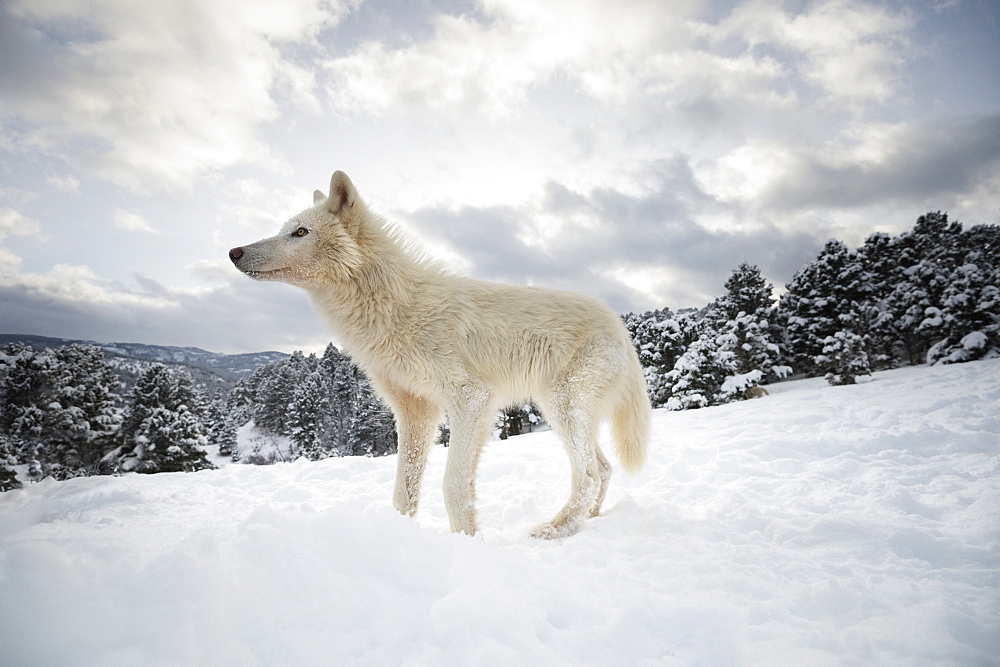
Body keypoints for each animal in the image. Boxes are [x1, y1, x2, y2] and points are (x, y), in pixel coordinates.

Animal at [230, 171, 652, 536]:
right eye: (284, 229)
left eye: (300, 232)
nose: (234, 251)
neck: (394, 307)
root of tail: (618, 323)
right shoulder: (415, 412)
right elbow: (403, 492)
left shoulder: (471, 399)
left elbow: (454, 486)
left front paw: (466, 541)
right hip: (563, 411)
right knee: (604, 469)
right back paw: (587, 522)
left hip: (562, 407)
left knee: (589, 475)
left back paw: (551, 532)